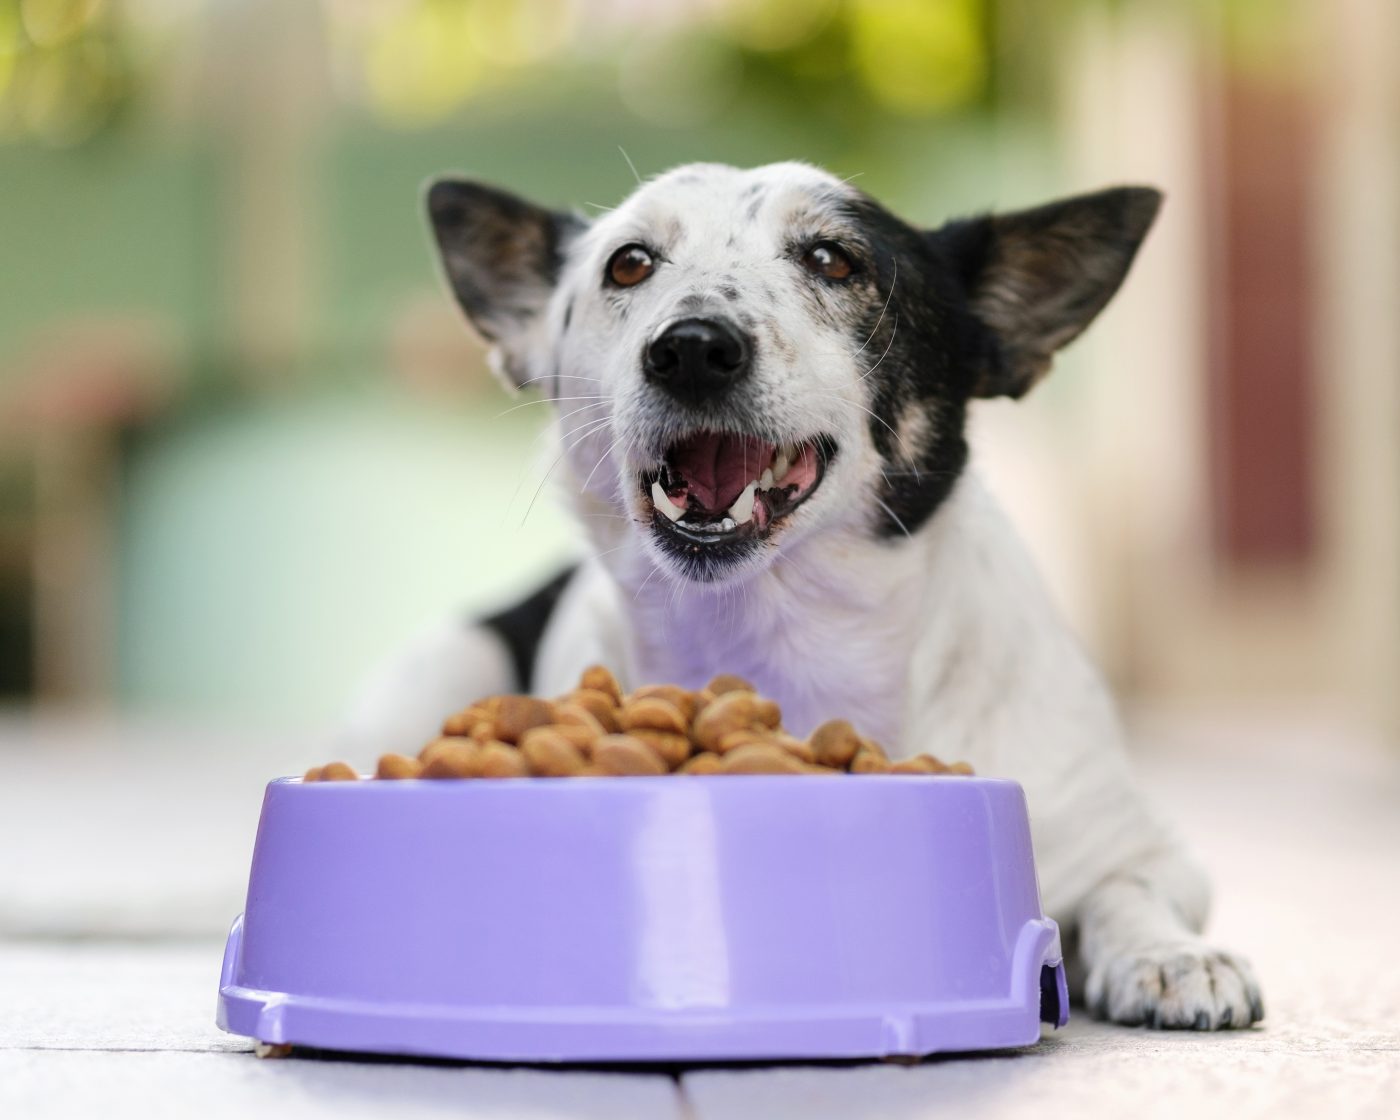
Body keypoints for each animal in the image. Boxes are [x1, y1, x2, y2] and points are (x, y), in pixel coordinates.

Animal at [344, 161, 1265, 1030]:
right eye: (630, 264)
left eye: (832, 258)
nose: (691, 346)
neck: (783, 640)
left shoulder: (1142, 845)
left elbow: (1126, 890)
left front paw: (1172, 956)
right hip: (441, 669)